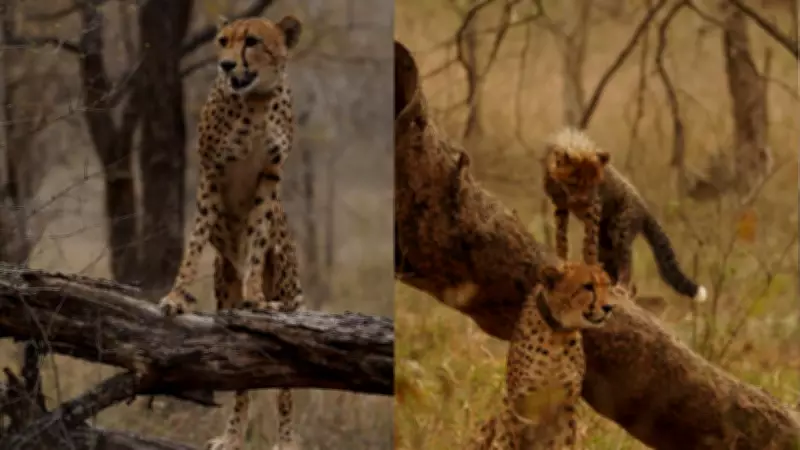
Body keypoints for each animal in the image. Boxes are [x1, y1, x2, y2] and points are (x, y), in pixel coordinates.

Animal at [156, 14, 305, 450]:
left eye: (252, 41)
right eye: (222, 41)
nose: (224, 65)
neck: (255, 101)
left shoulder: (269, 177)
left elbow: (255, 240)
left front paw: (255, 296)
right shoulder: (211, 173)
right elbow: (194, 242)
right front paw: (176, 297)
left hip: (286, 284)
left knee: (285, 385)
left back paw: (286, 439)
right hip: (225, 287)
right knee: (242, 377)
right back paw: (232, 436)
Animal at [470, 261, 619, 450]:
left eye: (607, 285)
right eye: (588, 286)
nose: (609, 307)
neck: (558, 334)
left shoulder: (566, 409)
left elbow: (564, 441)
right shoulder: (518, 408)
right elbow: (508, 439)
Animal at [542, 127, 707, 303]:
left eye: (594, 184)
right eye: (575, 183)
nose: (585, 201)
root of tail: (643, 205)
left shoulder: (594, 209)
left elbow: (589, 244)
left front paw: (589, 267)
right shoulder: (561, 207)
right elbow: (561, 237)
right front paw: (562, 258)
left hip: (620, 229)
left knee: (626, 261)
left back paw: (621, 288)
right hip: (606, 243)